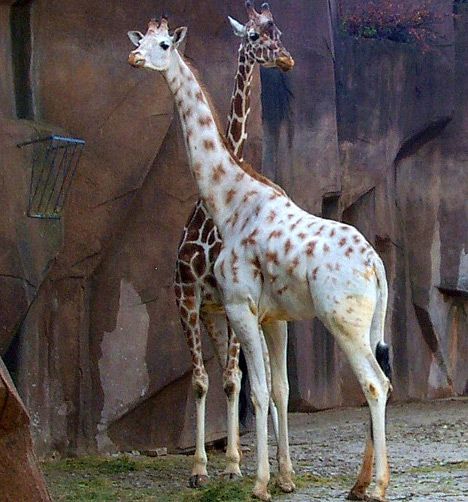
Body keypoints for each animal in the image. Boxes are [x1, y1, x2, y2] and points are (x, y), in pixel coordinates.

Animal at [130, 14, 394, 502]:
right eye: (141, 39)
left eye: (163, 44)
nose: (134, 57)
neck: (229, 201)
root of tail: (377, 266)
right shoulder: (274, 316)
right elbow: (279, 389)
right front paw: (283, 477)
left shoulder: (240, 305)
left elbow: (255, 392)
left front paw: (257, 483)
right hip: (370, 321)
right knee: (381, 379)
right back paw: (359, 484)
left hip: (342, 320)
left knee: (374, 382)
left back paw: (377, 487)